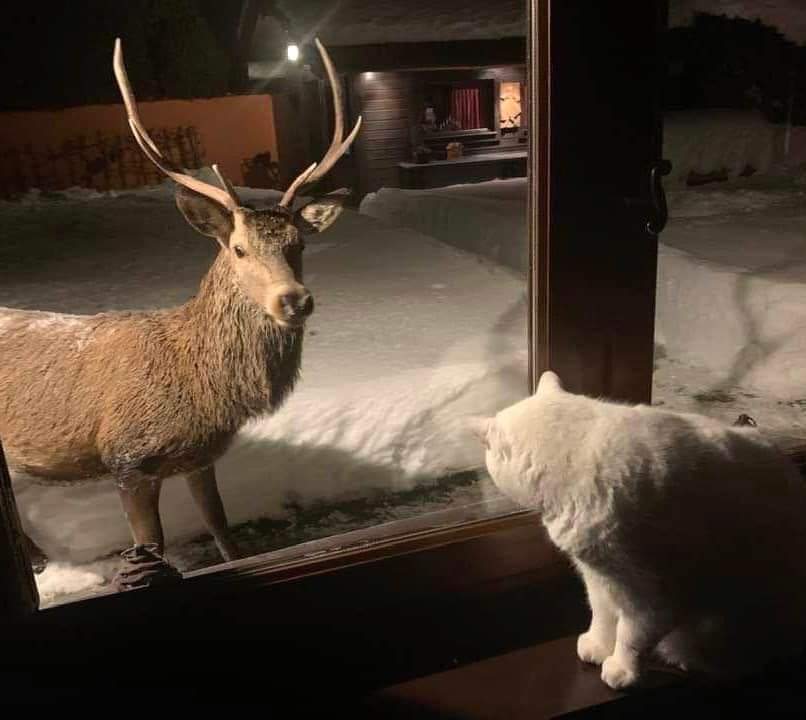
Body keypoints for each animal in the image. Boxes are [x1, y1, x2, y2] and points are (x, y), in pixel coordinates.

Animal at [0, 37, 361, 589]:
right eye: (238, 249)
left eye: (299, 244)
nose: (295, 300)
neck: (199, 385)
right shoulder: (127, 456)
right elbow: (151, 545)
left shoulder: (199, 456)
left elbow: (223, 532)